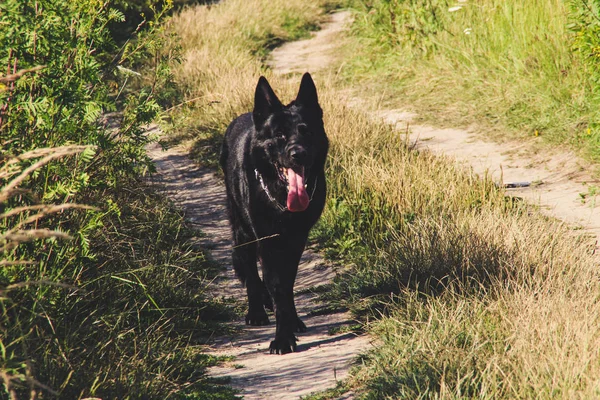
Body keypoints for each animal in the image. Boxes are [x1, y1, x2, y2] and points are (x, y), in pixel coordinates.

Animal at [221, 73, 328, 354]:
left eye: (306, 131)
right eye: (279, 135)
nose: (298, 154)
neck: (281, 198)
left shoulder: (296, 239)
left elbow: (287, 284)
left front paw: (290, 323)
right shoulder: (268, 241)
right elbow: (276, 285)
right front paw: (283, 338)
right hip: (243, 234)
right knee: (250, 270)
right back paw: (257, 311)